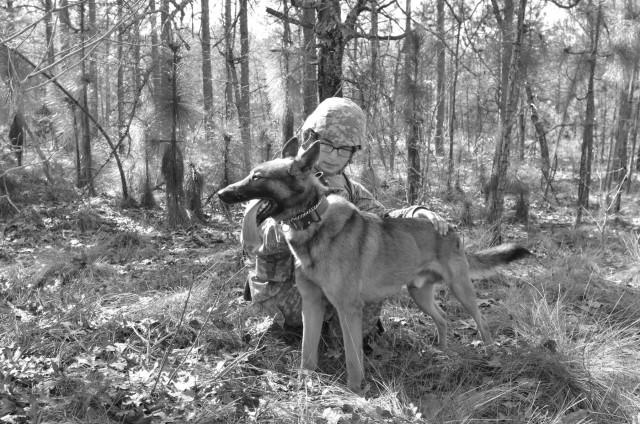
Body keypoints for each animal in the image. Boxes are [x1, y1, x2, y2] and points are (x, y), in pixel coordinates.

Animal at [219, 137, 528, 392]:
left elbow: (353, 358)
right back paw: (442, 352)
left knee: (481, 322)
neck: (313, 223)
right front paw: (305, 381)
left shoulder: (348, 309)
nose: (221, 193)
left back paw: (492, 355)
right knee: (442, 318)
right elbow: (307, 352)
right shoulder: (312, 305)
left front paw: (355, 391)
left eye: (257, 177)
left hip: (461, 289)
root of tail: (451, 228)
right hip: (419, 294)